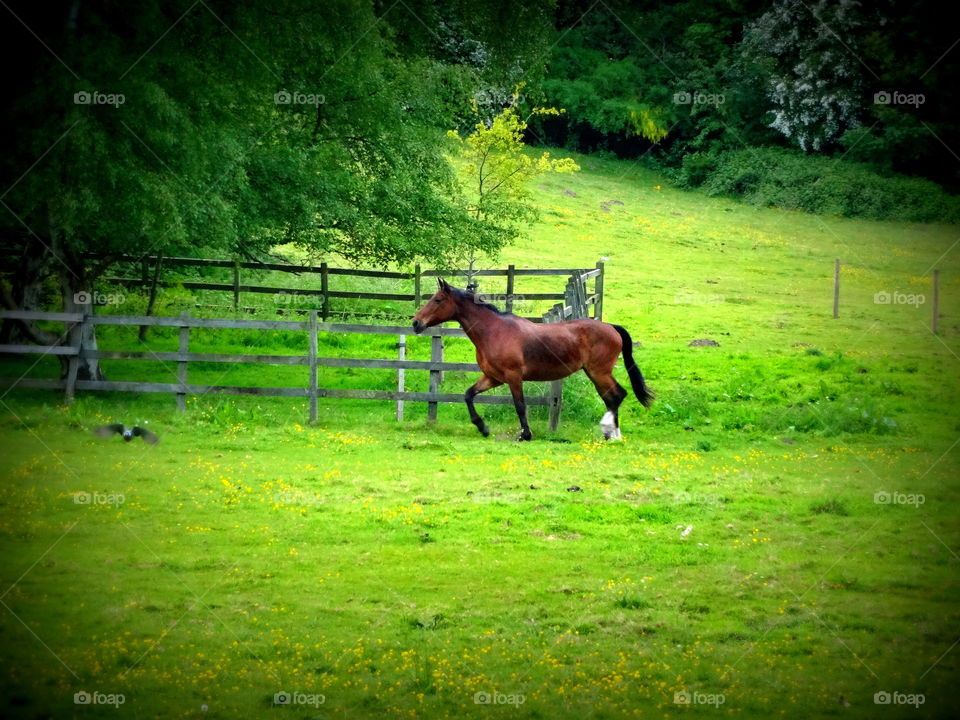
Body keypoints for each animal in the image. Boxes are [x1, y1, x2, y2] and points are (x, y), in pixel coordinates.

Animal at [412, 280, 652, 438]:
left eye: (438, 300)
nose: (416, 323)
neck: (493, 331)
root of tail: (611, 327)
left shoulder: (513, 376)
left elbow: (520, 405)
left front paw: (525, 434)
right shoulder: (492, 377)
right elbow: (468, 395)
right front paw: (483, 427)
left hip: (598, 372)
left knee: (617, 395)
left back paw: (612, 433)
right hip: (595, 373)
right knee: (611, 397)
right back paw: (610, 434)